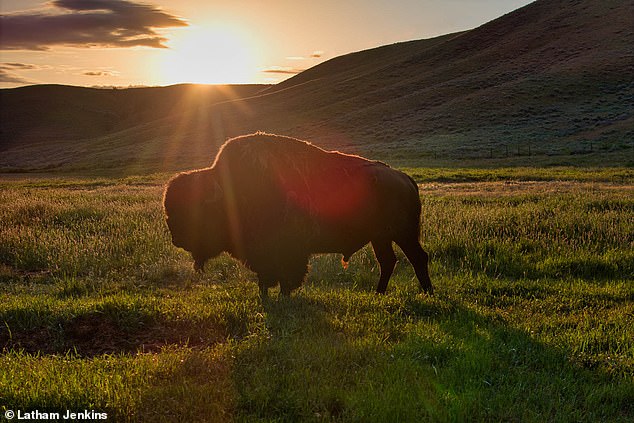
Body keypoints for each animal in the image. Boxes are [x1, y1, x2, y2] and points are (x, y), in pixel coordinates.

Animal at [163, 133, 432, 298]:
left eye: (196, 209)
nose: (177, 238)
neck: (228, 192)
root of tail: (405, 178)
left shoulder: (288, 252)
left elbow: (286, 276)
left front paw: (283, 296)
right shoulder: (262, 255)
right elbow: (264, 277)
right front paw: (264, 296)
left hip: (403, 233)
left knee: (417, 257)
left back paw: (428, 292)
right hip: (381, 237)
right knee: (388, 261)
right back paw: (379, 293)